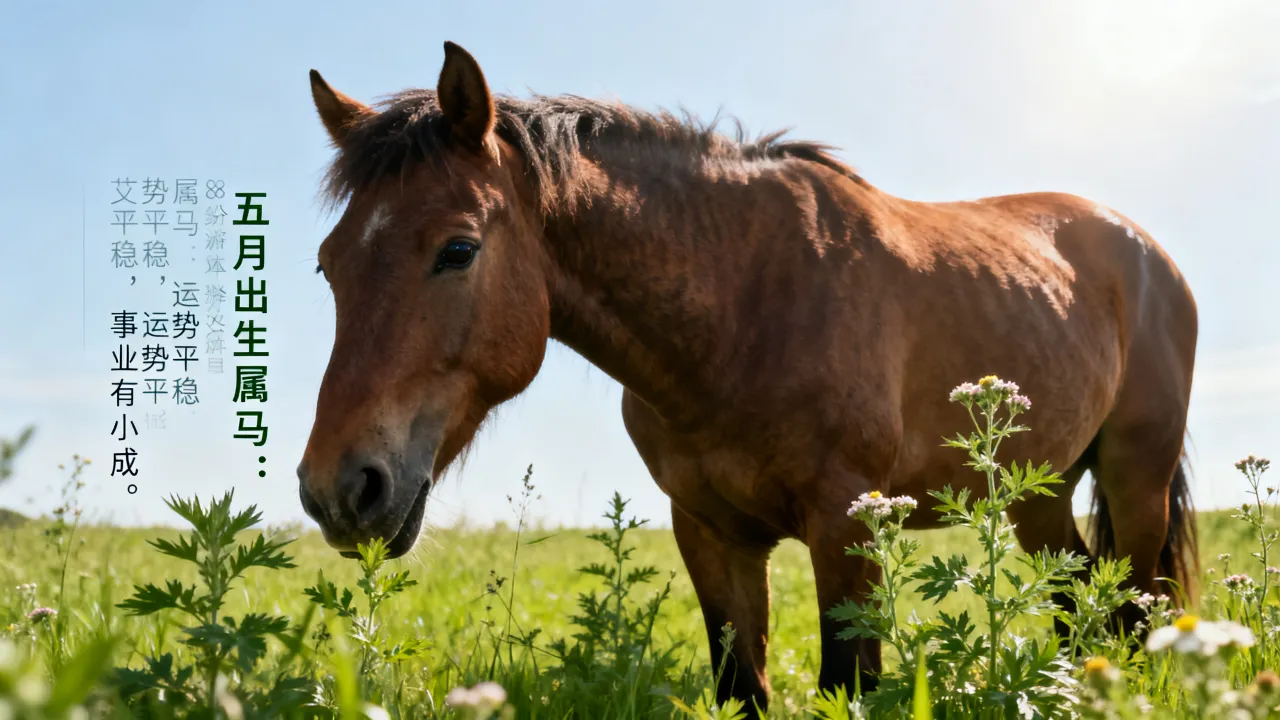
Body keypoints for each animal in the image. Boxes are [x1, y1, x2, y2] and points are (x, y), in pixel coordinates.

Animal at [296, 41, 1198, 714]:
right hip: (1037, 493)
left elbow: (848, 681)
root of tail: (1146, 251)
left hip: (1135, 482)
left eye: (457, 249)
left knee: (1132, 609)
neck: (745, 308)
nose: (340, 489)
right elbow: (744, 688)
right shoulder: (710, 532)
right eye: (328, 265)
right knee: (1080, 609)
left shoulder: (846, 523)